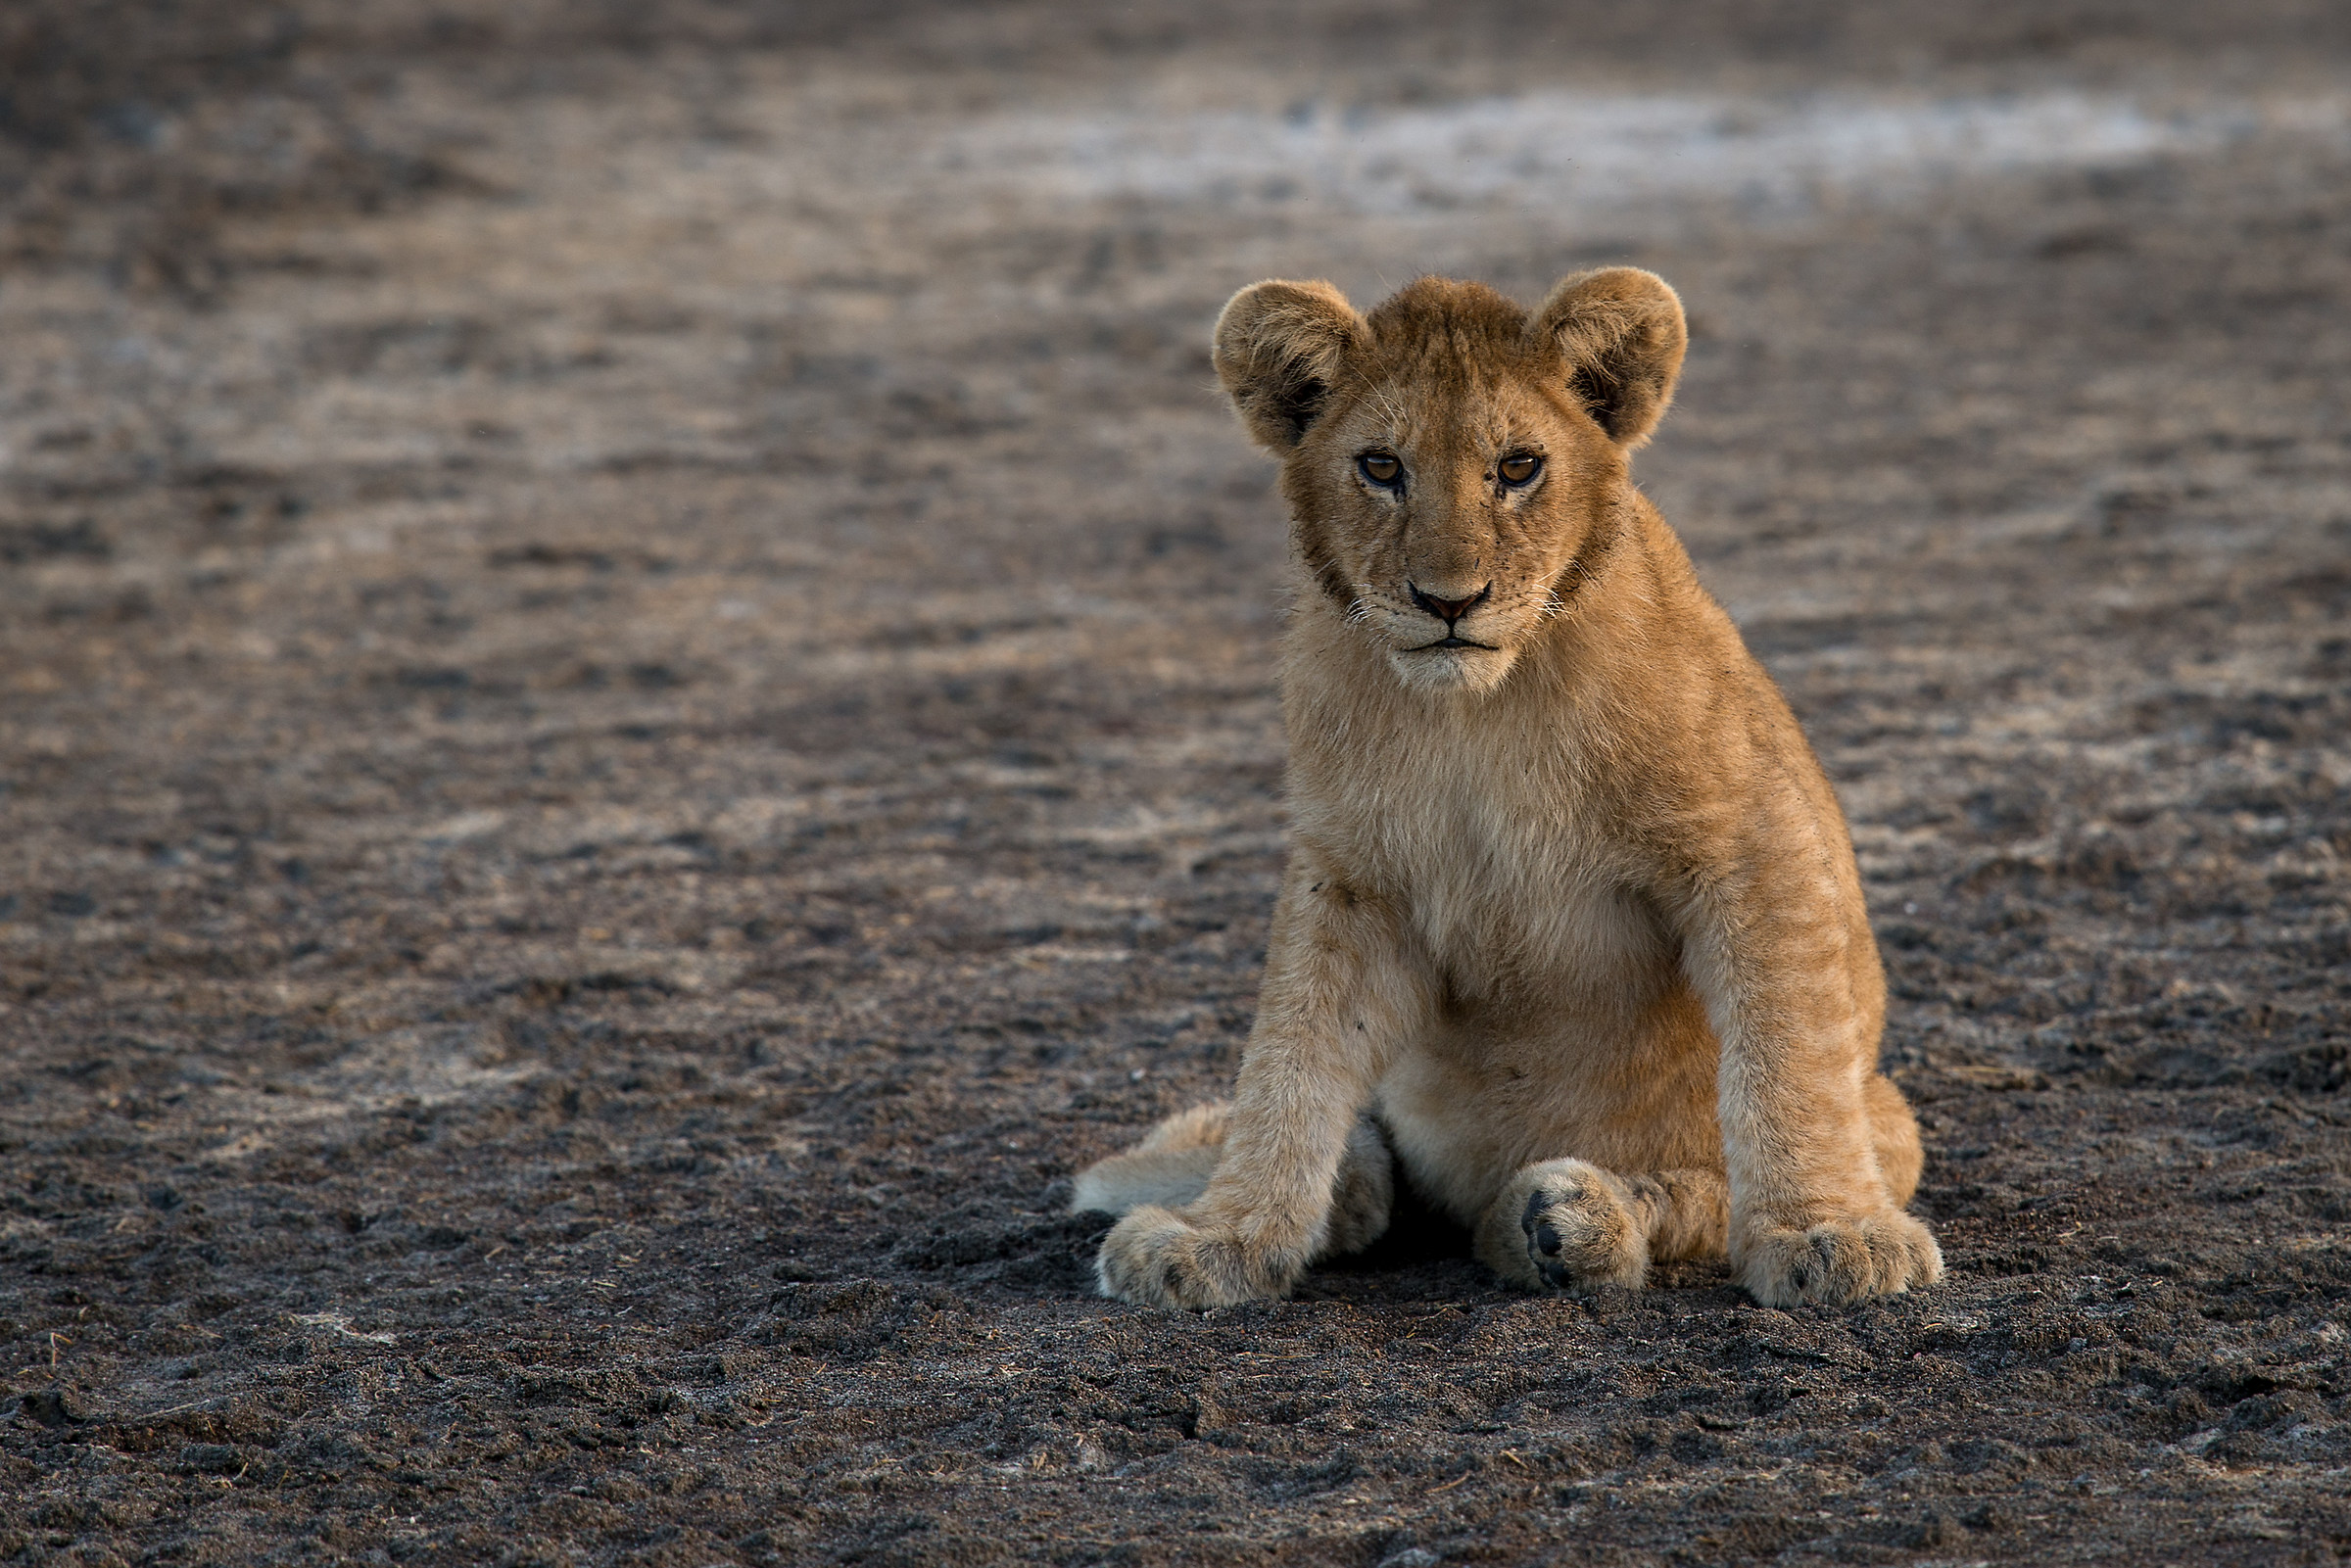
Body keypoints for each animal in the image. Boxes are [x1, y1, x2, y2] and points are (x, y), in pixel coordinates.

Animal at [1070, 268, 1942, 1311]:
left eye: (1519, 466)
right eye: (1380, 466)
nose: (1449, 600)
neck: (1475, 717)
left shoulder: (1752, 841)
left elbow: (1785, 1054)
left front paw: (1829, 1232)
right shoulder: (1353, 877)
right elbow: (1291, 1053)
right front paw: (1224, 1235)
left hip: (1888, 1111)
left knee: (1718, 1174)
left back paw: (1566, 1221)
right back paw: (1362, 1193)